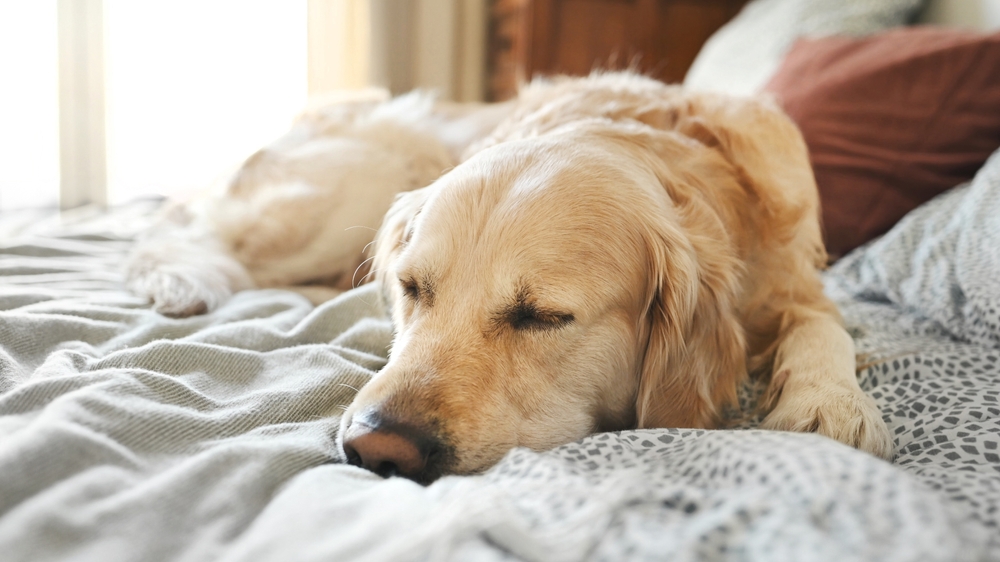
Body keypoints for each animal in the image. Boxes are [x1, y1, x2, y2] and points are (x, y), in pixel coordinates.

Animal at [123, 71, 892, 482]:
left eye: (542, 316)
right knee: (182, 228)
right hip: (350, 187)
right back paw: (186, 281)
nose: (376, 448)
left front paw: (830, 401)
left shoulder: (796, 281)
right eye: (413, 289)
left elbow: (824, 324)